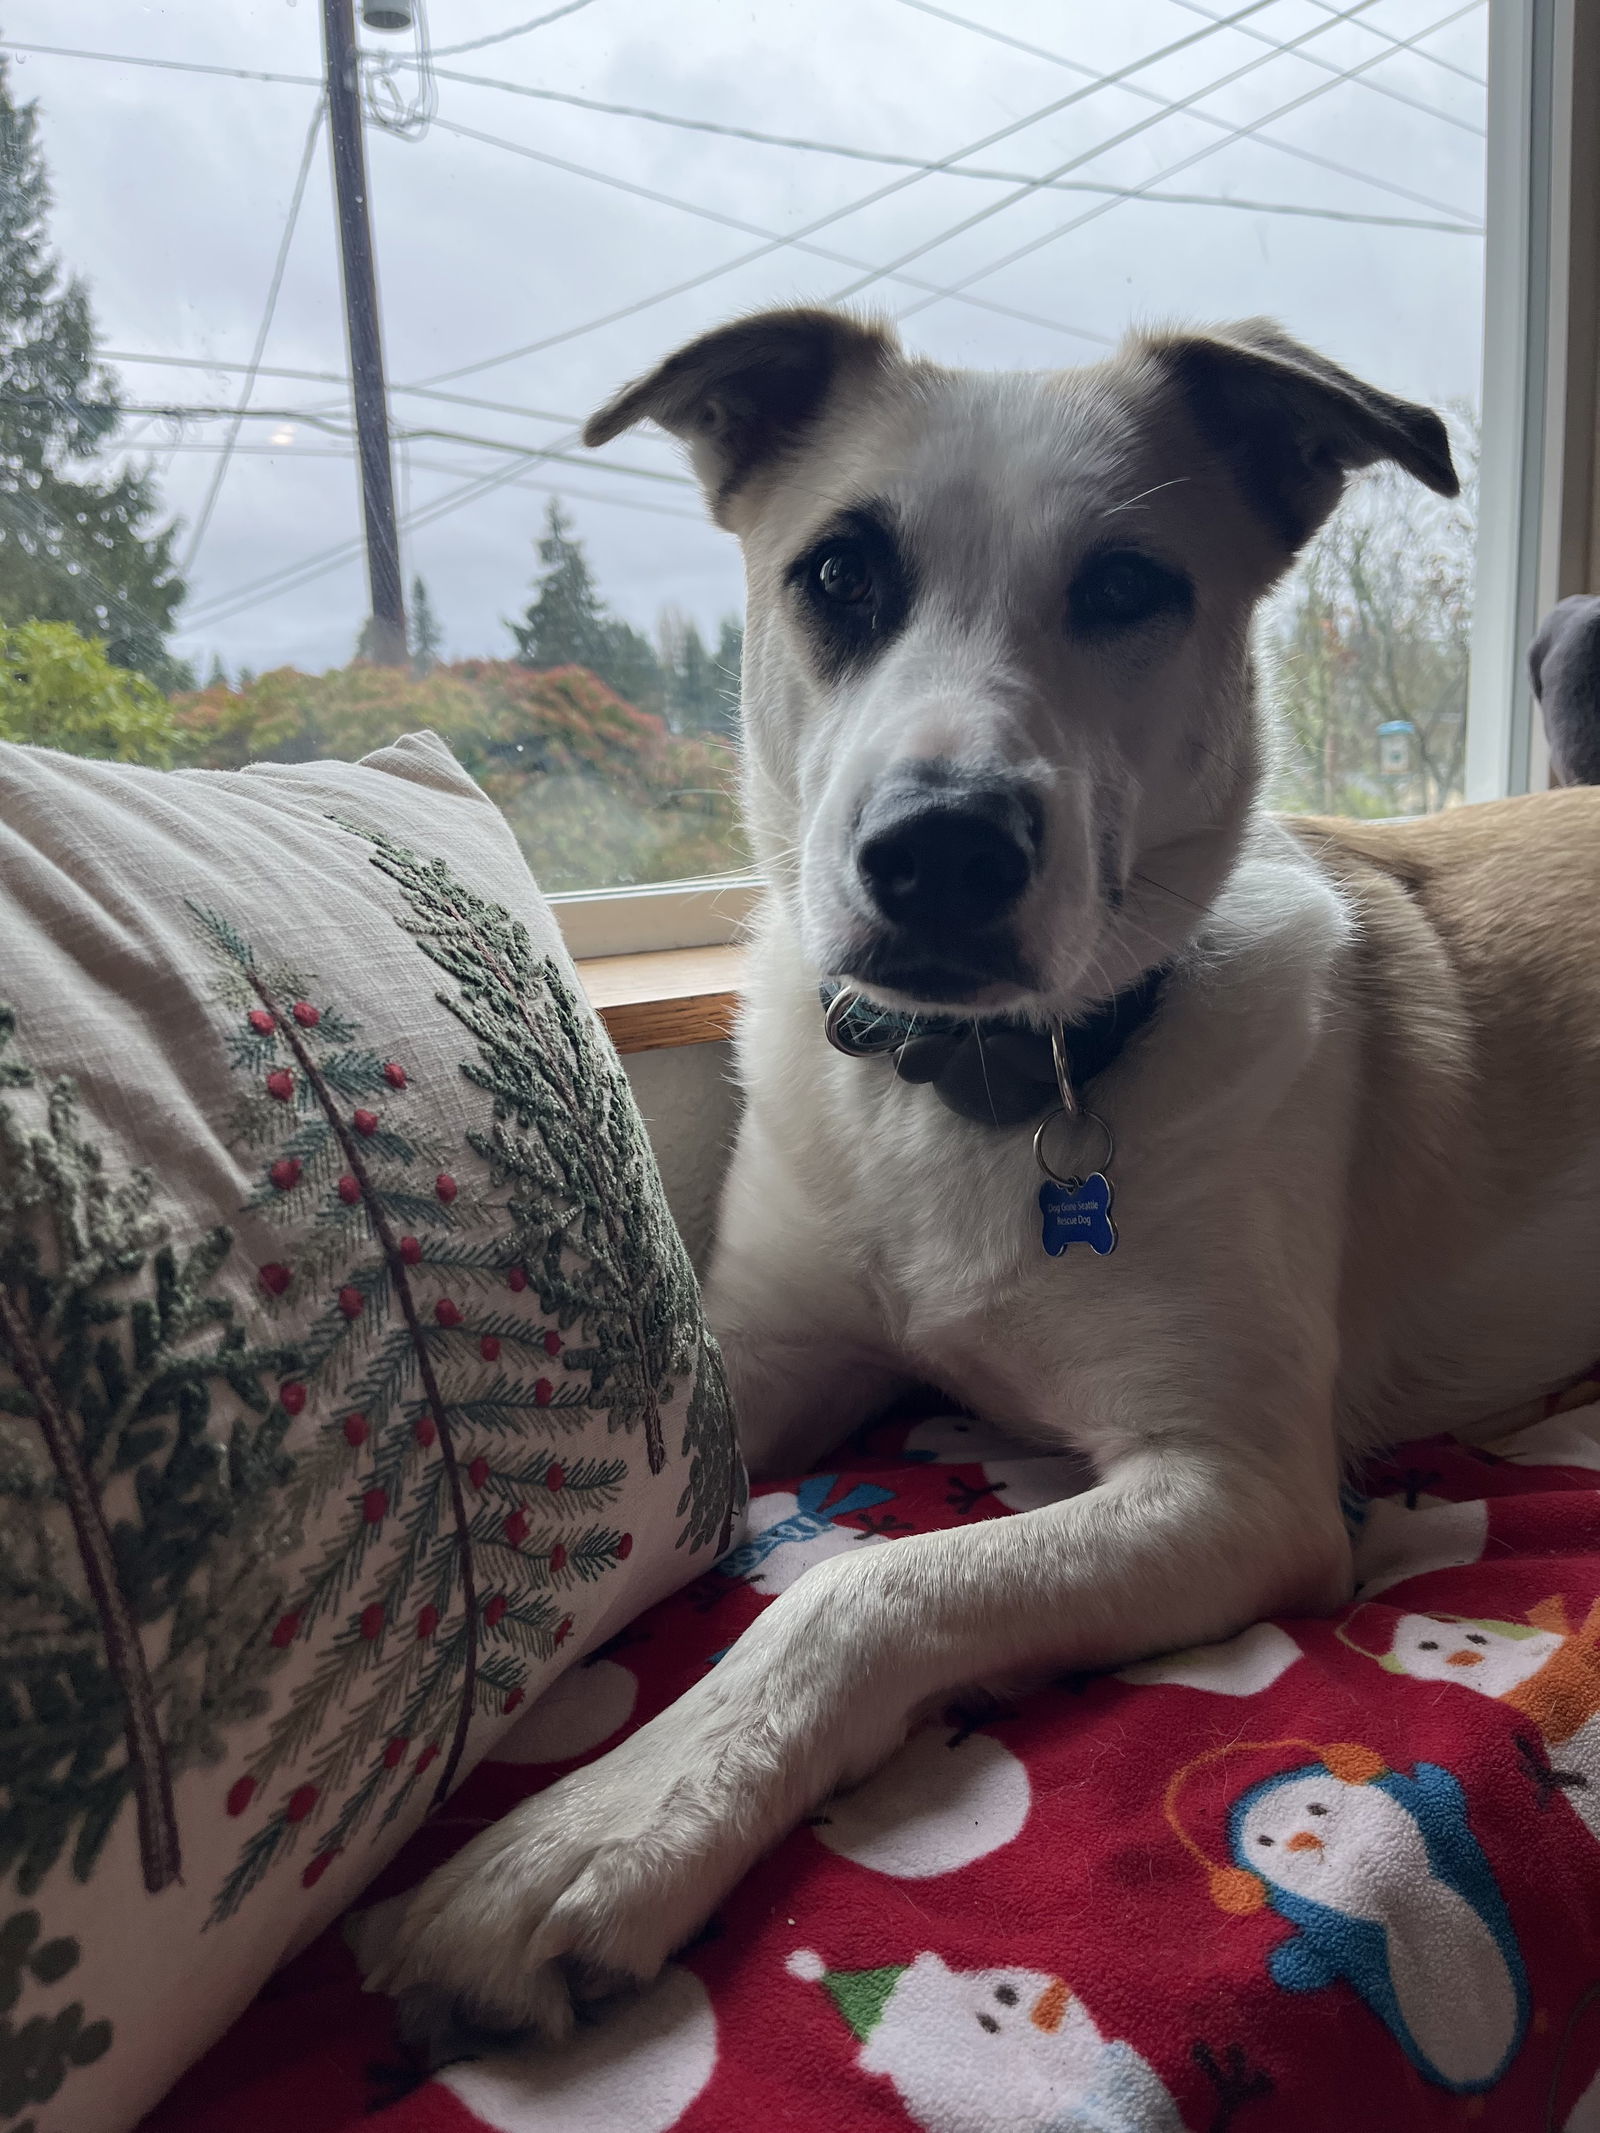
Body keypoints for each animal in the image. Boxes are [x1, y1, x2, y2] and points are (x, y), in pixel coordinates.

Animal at [369, 309, 1600, 2039]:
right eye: (838, 574)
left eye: (1129, 585)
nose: (940, 851)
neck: (976, 1094)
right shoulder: (761, 1358)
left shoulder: (1240, 1489)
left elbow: (869, 1584)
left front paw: (600, 1828)